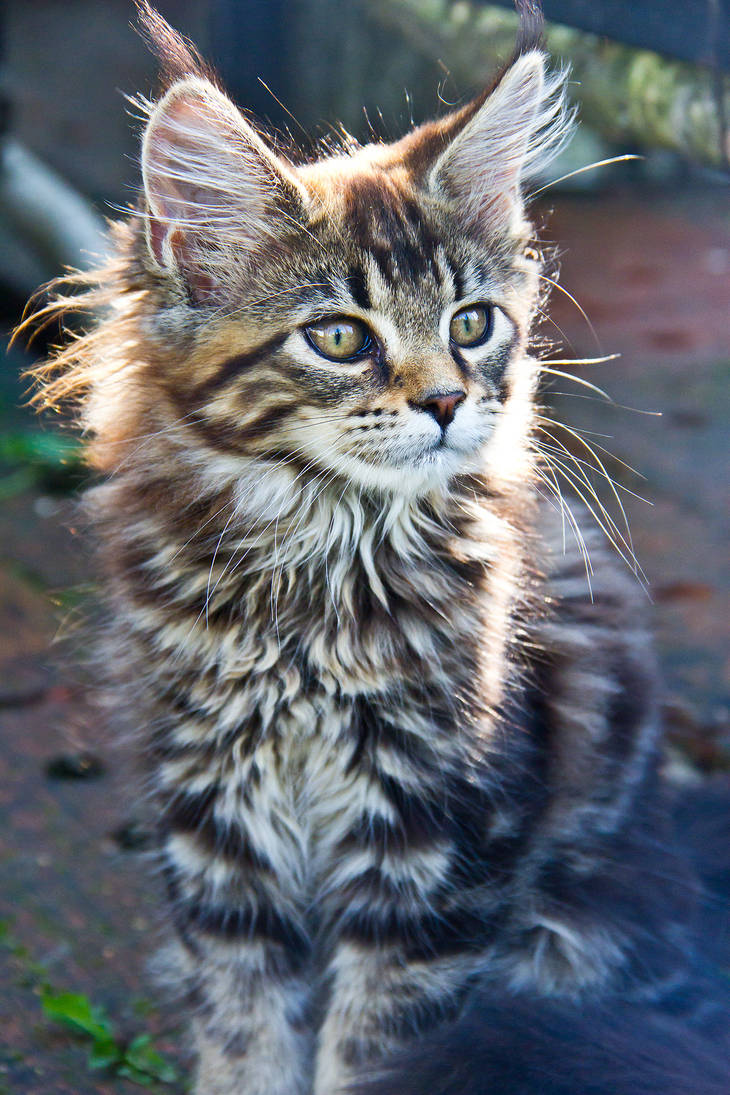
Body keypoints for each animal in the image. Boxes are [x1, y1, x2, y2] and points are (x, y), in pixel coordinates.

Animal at [29, 2, 730, 1095]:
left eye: (472, 324)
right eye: (339, 338)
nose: (445, 400)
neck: (325, 559)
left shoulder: (437, 840)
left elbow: (374, 1048)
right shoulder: (216, 822)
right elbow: (246, 1035)